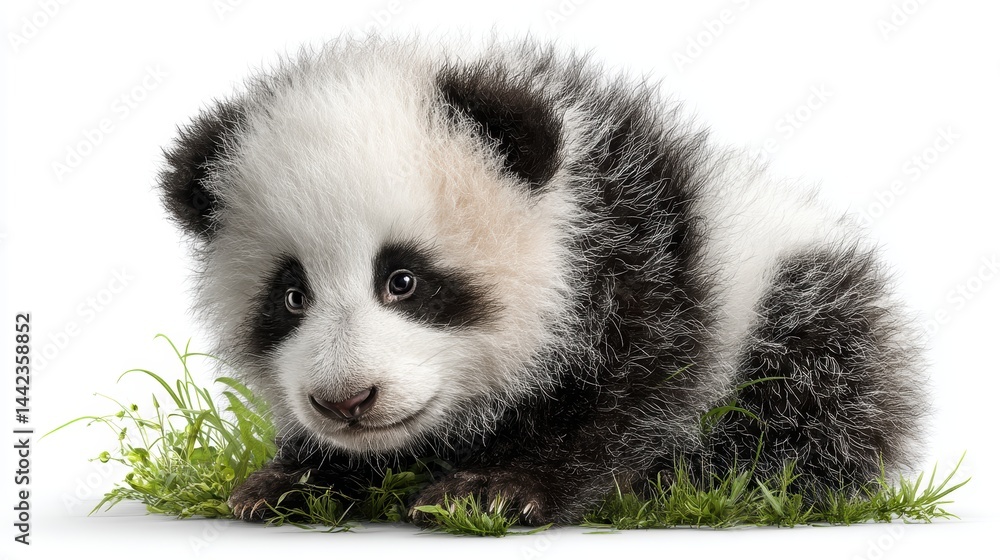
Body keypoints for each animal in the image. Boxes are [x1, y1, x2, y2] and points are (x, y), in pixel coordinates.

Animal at [157, 36, 927, 525]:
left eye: (403, 280)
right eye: (291, 297)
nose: (347, 400)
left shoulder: (645, 253)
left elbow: (640, 391)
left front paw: (494, 489)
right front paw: (290, 481)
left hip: (798, 291)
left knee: (817, 387)